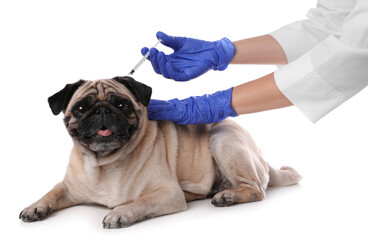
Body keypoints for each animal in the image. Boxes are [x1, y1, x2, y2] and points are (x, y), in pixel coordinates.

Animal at [19, 77, 302, 229]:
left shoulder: (167, 193)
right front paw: (35, 207)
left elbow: (141, 202)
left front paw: (120, 213)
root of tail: (263, 159)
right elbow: (52, 192)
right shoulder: (68, 187)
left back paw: (228, 196)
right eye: (80, 108)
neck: (104, 164)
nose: (102, 110)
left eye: (121, 104)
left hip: (223, 137)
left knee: (256, 190)